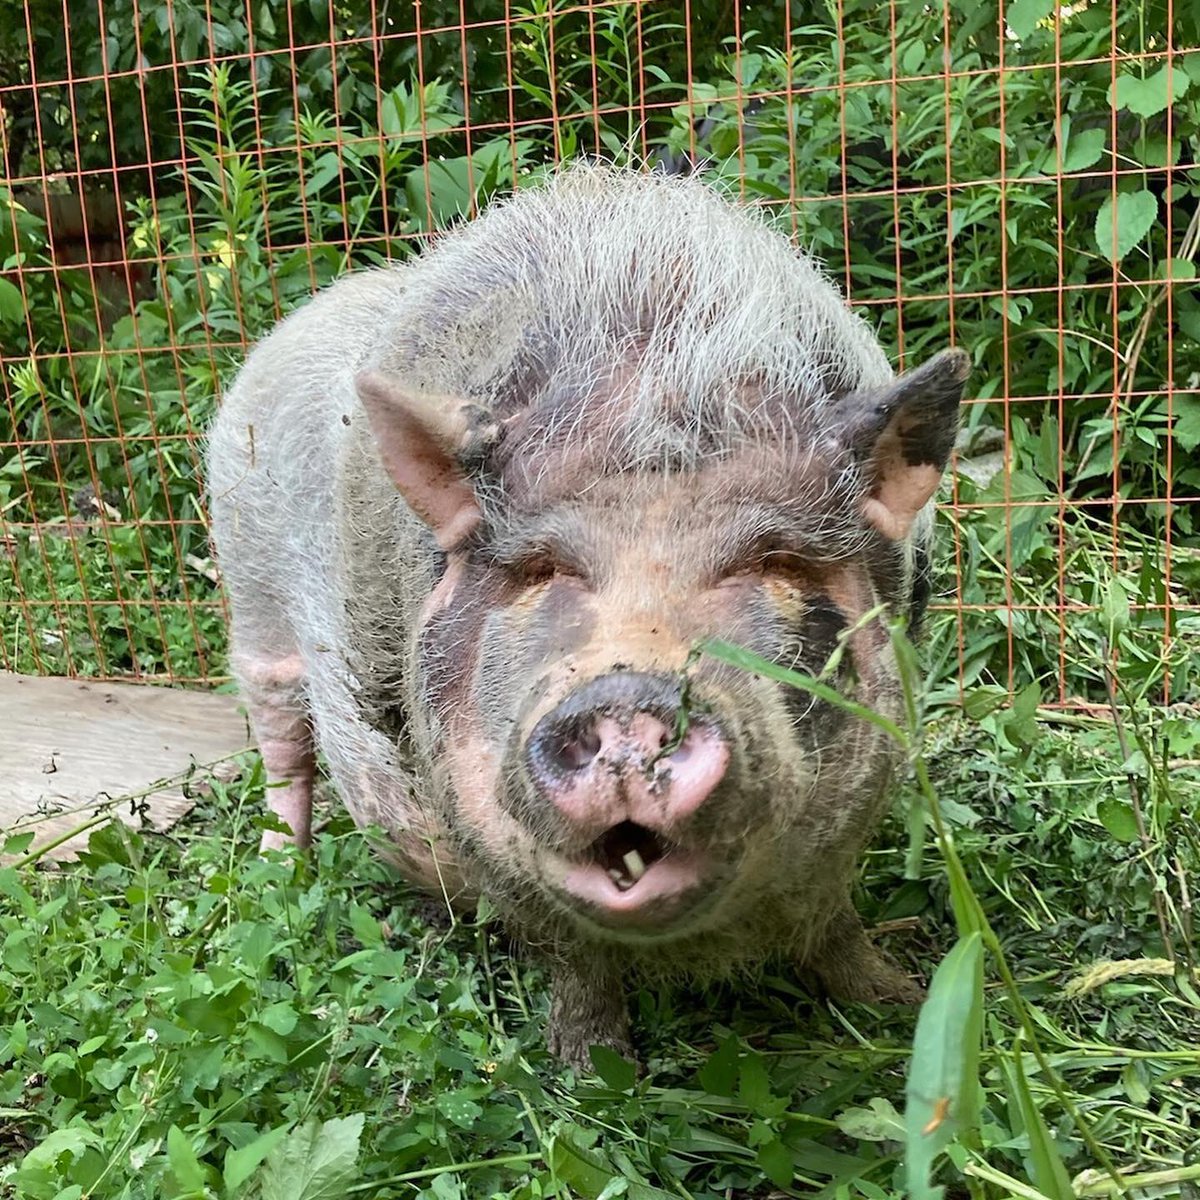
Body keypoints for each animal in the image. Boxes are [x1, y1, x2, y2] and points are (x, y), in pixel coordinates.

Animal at [205, 163, 968, 1069]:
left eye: (775, 560)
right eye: (543, 569)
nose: (630, 701)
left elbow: (837, 925)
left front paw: (902, 1002)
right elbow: (572, 962)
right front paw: (592, 1072)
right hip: (251, 602)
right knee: (282, 748)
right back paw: (279, 873)